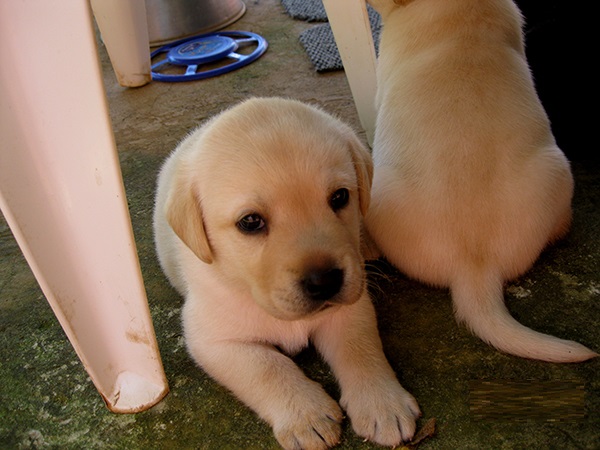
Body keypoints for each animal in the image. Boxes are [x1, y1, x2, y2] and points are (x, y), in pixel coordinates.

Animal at [152, 99, 420, 450]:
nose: (325, 282)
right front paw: (307, 416)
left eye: (340, 197)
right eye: (250, 222)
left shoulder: (350, 310)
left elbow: (361, 350)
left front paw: (382, 403)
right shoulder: (214, 340)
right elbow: (267, 368)